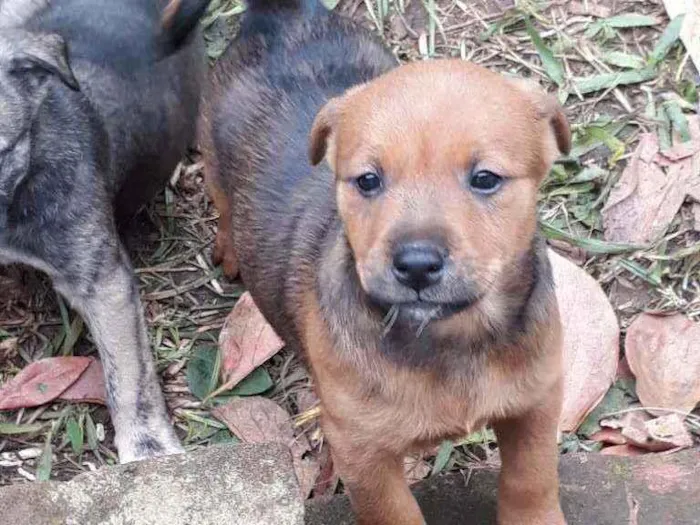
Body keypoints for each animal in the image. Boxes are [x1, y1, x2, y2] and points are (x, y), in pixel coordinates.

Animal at [200, 2, 572, 520]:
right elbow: (394, 514)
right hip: (211, 150)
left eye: (485, 178)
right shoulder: (361, 451)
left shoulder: (535, 402)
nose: (415, 265)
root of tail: (283, 16)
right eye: (368, 181)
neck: (451, 340)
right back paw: (230, 250)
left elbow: (531, 480)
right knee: (223, 202)